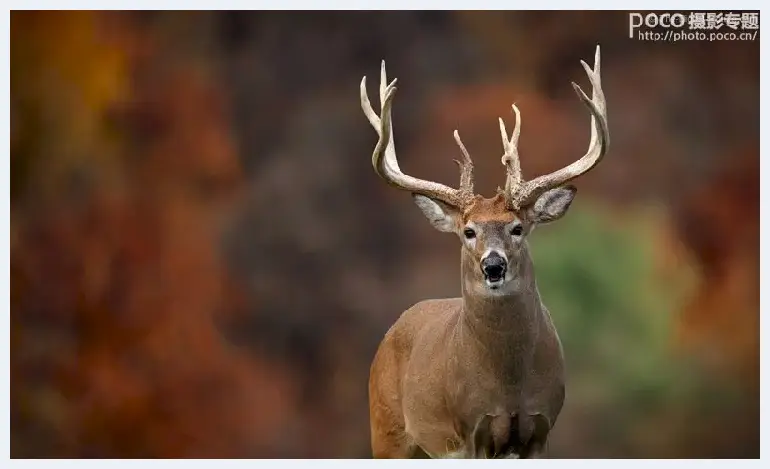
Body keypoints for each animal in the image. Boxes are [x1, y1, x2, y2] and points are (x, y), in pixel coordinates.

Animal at [360, 46, 608, 458]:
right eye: (468, 231)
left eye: (517, 228)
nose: (493, 265)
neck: (508, 388)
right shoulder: (471, 431)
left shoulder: (541, 428)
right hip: (387, 430)